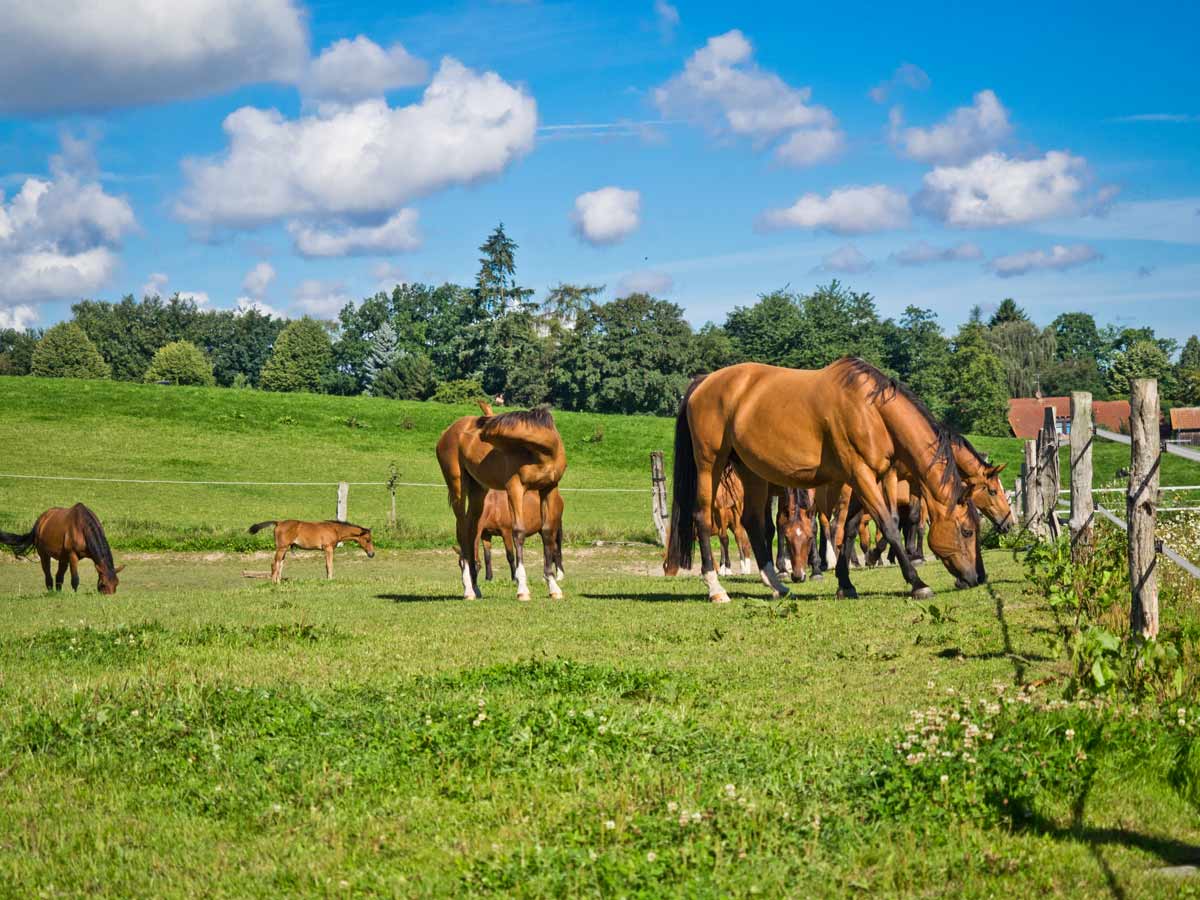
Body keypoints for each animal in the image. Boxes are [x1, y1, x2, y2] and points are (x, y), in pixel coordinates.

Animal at [436, 408, 566, 602]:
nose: (470, 437)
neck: (540, 453)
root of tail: (446, 433)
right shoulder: (515, 488)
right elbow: (518, 532)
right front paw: (522, 588)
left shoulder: (549, 488)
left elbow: (548, 533)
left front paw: (553, 586)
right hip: (458, 487)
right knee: (462, 530)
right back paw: (468, 589)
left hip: (478, 492)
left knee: (471, 531)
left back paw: (475, 587)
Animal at [672, 360, 979, 607]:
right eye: (966, 531)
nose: (975, 578)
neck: (870, 410)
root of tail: (704, 382)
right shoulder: (861, 475)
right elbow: (887, 526)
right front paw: (918, 583)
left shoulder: (864, 479)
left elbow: (851, 527)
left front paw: (845, 583)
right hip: (710, 464)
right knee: (701, 518)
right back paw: (716, 588)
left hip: (750, 471)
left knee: (753, 523)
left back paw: (777, 585)